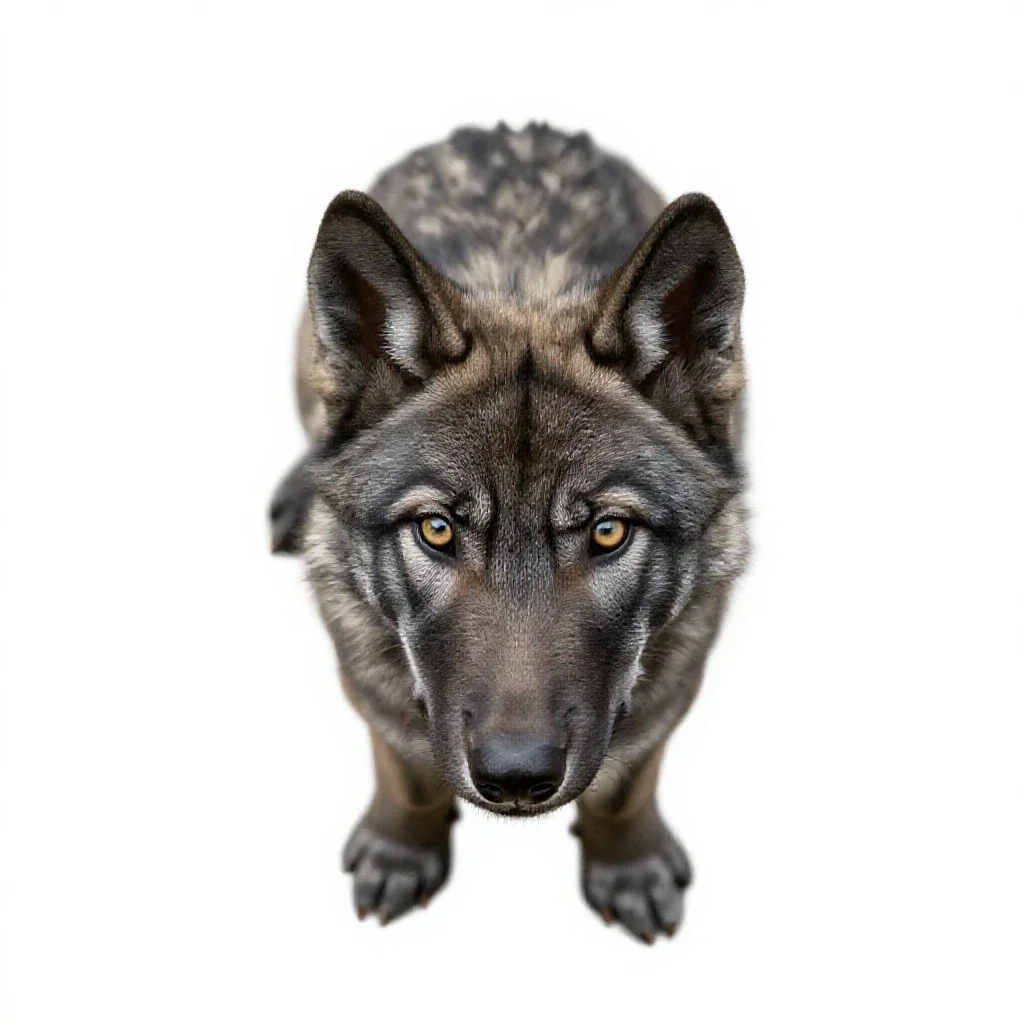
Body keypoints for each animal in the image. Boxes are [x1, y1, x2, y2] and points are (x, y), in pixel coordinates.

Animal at [268, 123, 748, 943]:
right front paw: (402, 852)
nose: (517, 777)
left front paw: (627, 869)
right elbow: (408, 775)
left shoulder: (675, 680)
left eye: (609, 532)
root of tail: (512, 127)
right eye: (436, 529)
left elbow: (625, 788)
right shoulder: (366, 673)